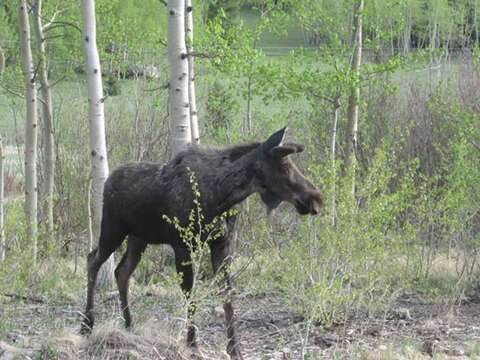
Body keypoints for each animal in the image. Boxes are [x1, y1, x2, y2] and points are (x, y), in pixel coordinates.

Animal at [80, 128, 322, 358]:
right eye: (285, 167)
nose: (316, 197)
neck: (224, 195)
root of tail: (108, 180)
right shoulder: (182, 246)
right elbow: (191, 294)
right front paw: (193, 344)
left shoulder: (222, 244)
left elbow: (227, 295)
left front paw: (234, 348)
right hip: (112, 231)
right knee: (93, 259)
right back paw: (87, 325)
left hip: (138, 238)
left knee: (122, 271)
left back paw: (129, 324)